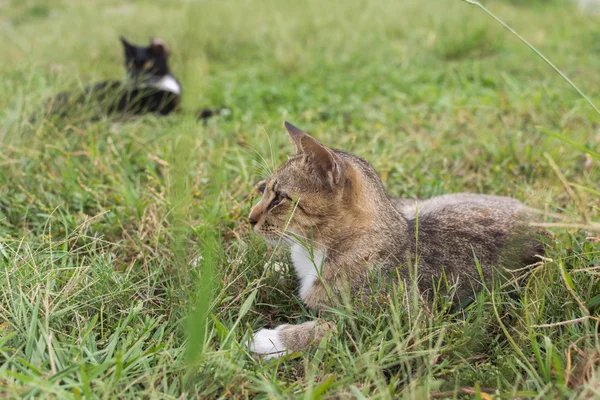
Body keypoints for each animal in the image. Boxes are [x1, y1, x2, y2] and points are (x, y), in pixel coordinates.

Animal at [245, 120, 544, 358]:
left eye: (279, 198)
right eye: (264, 188)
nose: (250, 218)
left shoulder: (410, 324)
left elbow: (333, 327)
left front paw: (272, 339)